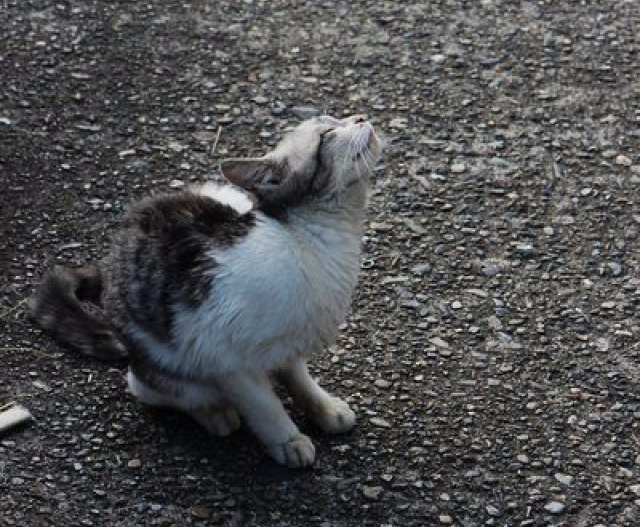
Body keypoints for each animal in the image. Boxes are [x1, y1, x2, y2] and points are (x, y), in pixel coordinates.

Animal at [31, 113, 380, 468]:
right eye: (327, 134)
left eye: (337, 118)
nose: (360, 116)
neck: (317, 242)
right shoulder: (225, 357)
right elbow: (266, 407)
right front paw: (287, 440)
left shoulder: (288, 343)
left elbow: (299, 379)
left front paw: (324, 408)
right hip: (171, 368)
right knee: (157, 390)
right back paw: (216, 414)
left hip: (217, 192)